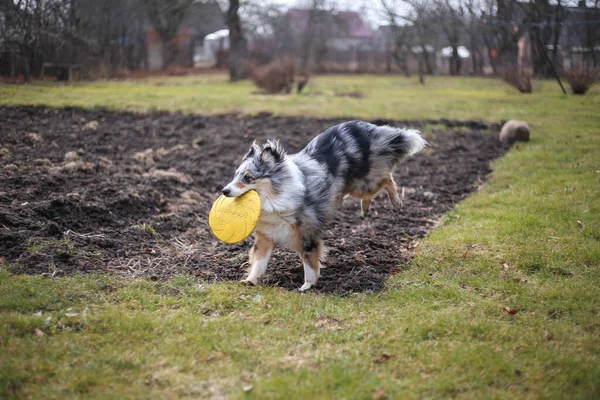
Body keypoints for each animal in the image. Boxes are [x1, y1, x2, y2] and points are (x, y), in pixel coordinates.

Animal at [221, 119, 426, 290]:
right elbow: (259, 263)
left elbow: (310, 264)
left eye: (248, 178)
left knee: (386, 178)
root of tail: (365, 126)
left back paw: (396, 202)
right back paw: (365, 208)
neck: (275, 198)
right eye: (235, 175)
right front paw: (250, 281)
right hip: (357, 186)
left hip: (365, 183)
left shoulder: (307, 235)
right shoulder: (266, 236)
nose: (224, 191)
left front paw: (307, 286)